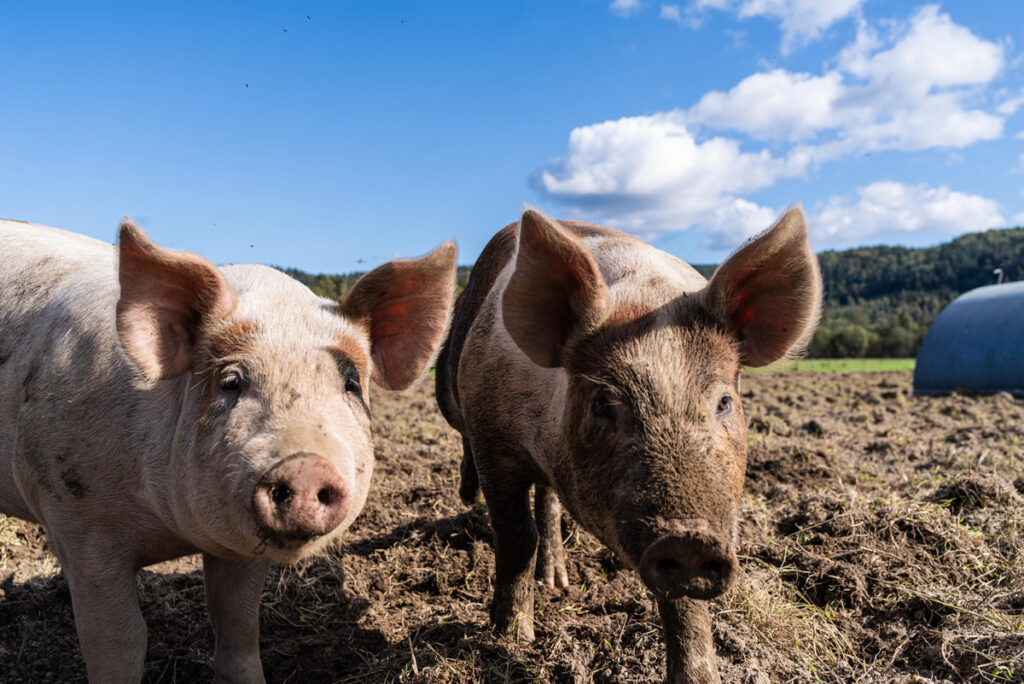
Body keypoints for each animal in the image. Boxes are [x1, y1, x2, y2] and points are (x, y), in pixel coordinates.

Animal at [0, 220, 456, 684]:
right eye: (231, 381)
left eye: (350, 385)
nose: (305, 465)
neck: (174, 533)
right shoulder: (78, 521)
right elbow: (121, 642)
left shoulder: (242, 548)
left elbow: (238, 628)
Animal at [436, 205, 819, 679]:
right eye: (603, 404)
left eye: (724, 402)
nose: (690, 539)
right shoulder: (493, 439)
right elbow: (516, 537)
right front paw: (513, 638)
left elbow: (684, 605)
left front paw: (701, 677)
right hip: (451, 386)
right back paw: (469, 498)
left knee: (548, 500)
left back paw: (557, 582)